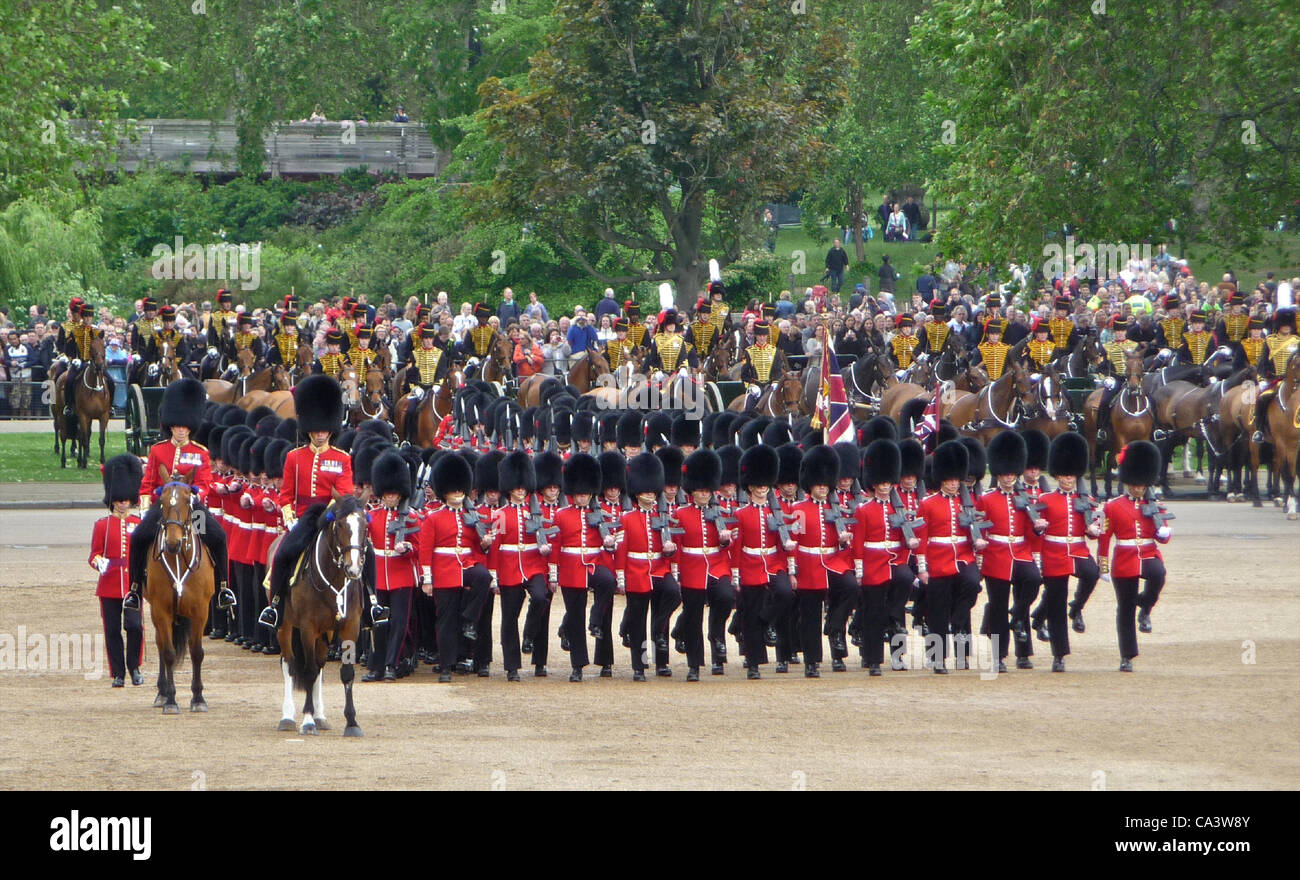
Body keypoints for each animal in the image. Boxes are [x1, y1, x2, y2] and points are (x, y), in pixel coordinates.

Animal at [143, 467, 214, 712]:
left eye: (186, 500)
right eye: (162, 501)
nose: (172, 543)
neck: (177, 560)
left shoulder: (201, 611)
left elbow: (197, 652)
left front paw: (198, 698)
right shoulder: (161, 610)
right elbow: (168, 653)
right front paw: (171, 698)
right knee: (161, 644)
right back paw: (162, 692)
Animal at [275, 493, 366, 733]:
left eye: (365, 525)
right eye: (340, 525)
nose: (354, 569)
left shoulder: (350, 627)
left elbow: (345, 673)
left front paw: (351, 722)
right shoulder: (307, 628)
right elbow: (308, 671)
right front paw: (307, 719)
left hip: (325, 633)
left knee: (320, 665)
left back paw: (320, 715)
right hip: (285, 625)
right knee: (289, 663)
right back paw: (288, 716)